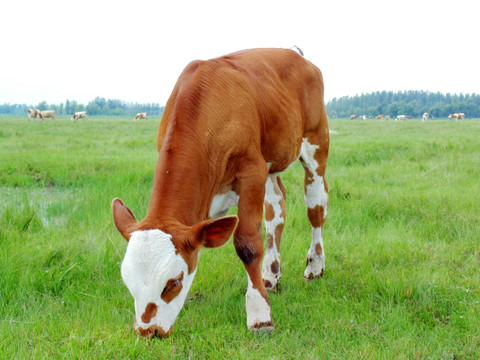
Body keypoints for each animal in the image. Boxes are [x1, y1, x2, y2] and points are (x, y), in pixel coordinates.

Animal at [112, 47, 330, 338]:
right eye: (128, 282)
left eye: (174, 282)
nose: (149, 331)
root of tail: (296, 54)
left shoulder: (252, 173)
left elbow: (248, 243)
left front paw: (260, 315)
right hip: (273, 162)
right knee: (276, 211)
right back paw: (271, 275)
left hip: (317, 142)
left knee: (315, 206)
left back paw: (314, 265)